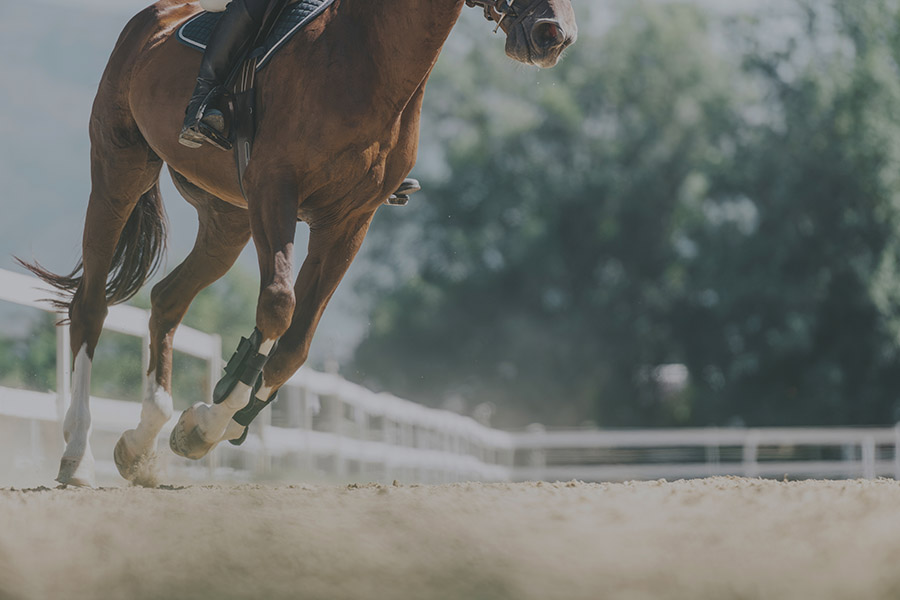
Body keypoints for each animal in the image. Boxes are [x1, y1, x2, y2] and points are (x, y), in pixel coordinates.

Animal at [21, 0, 577, 487]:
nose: (554, 34)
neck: (369, 55)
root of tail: (156, 16)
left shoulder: (348, 222)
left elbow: (293, 346)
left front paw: (207, 425)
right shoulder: (275, 191)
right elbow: (278, 308)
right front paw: (211, 420)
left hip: (228, 219)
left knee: (167, 300)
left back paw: (141, 443)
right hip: (120, 169)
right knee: (91, 305)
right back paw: (78, 455)